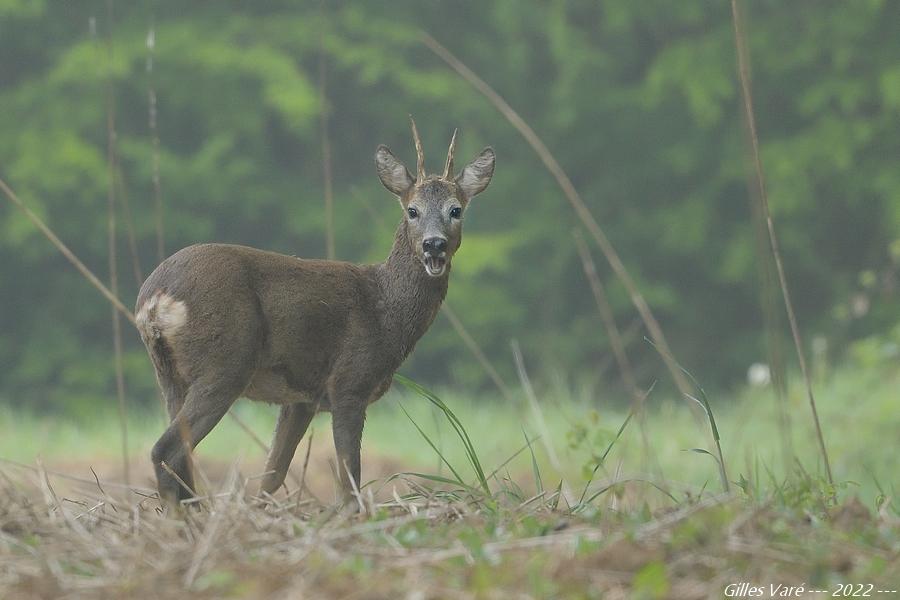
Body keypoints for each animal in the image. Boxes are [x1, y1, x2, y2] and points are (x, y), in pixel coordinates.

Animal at [137, 119, 496, 508]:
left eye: (455, 210)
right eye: (412, 210)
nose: (434, 245)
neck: (385, 308)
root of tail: (154, 299)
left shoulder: (302, 399)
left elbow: (273, 474)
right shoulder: (349, 382)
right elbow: (349, 481)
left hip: (170, 375)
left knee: (181, 454)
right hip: (224, 365)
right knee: (165, 450)